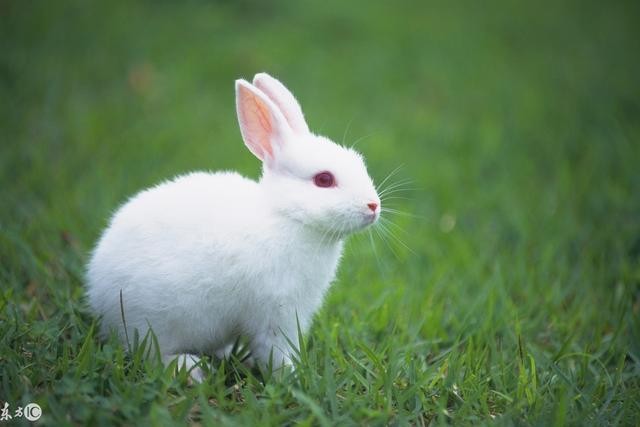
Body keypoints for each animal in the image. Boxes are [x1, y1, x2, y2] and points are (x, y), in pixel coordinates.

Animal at [87, 73, 382, 382]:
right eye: (324, 179)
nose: (373, 206)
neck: (287, 216)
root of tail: (97, 293)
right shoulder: (276, 314)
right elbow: (275, 352)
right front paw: (293, 377)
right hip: (153, 322)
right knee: (151, 354)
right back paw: (191, 369)